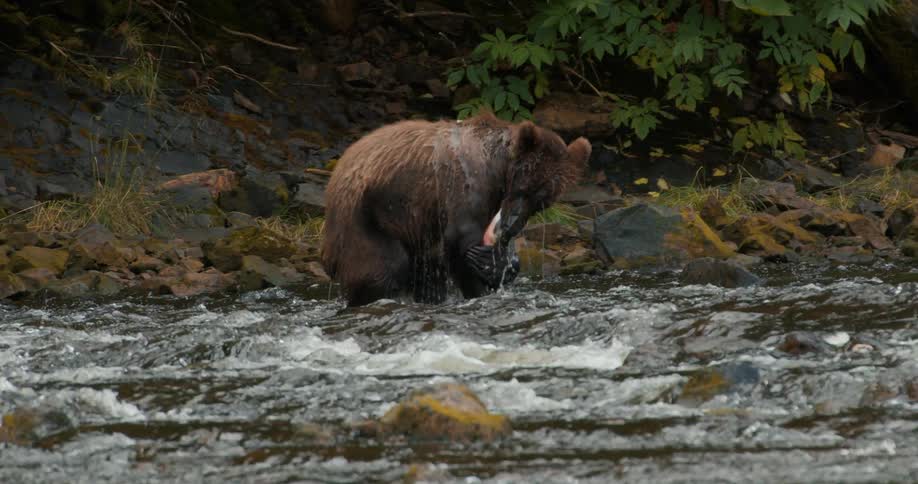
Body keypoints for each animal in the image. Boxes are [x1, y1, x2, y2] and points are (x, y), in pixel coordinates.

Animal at [320, 111, 592, 307]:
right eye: (523, 189)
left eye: (542, 201)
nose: (512, 225)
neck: (499, 168)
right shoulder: (469, 185)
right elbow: (460, 239)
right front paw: (482, 278)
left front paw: (499, 263)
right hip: (366, 217)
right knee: (384, 267)